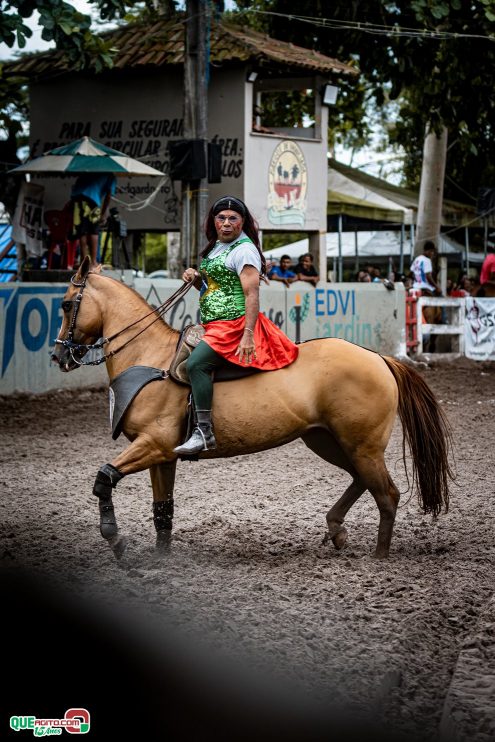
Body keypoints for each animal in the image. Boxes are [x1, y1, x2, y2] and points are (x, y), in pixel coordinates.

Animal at [52, 258, 456, 560]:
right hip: (328, 441)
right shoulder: (163, 456)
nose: (59, 356)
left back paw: (379, 556)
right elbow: (162, 510)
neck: (149, 358)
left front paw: (115, 540)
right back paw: (337, 530)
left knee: (387, 495)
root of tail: (378, 358)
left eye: (67, 304)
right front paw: (161, 558)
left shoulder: (152, 444)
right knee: (363, 481)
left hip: (361, 446)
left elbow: (104, 479)